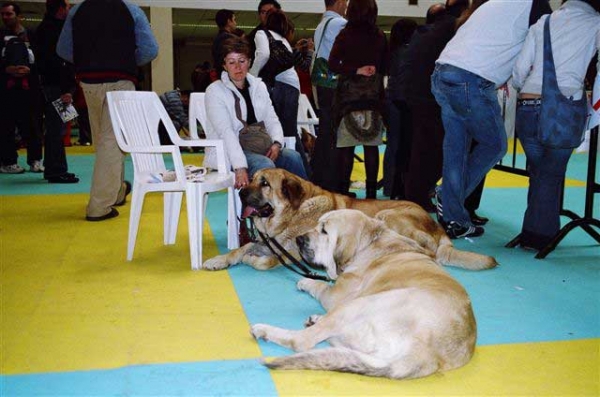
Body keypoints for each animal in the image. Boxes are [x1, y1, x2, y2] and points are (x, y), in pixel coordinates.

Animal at [204, 169, 500, 270]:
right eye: (252, 178)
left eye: (264, 183)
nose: (241, 192)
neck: (292, 214)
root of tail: (439, 228)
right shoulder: (267, 241)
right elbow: (241, 248)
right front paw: (218, 260)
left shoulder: (293, 253)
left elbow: (265, 261)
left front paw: (252, 261)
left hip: (386, 215)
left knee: (425, 252)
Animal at [251, 209, 476, 378]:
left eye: (324, 231)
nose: (299, 239)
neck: (368, 243)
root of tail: (427, 355)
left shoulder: (336, 295)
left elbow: (321, 286)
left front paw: (307, 281)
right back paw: (316, 320)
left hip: (358, 304)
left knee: (303, 340)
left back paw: (264, 330)